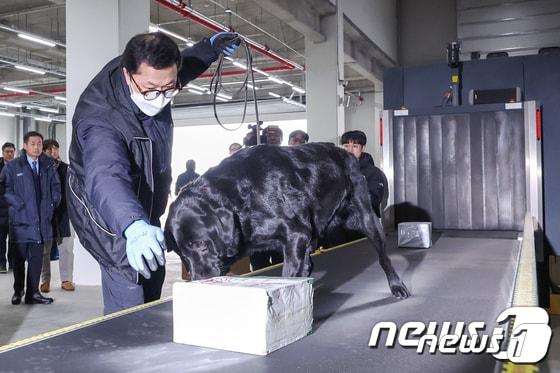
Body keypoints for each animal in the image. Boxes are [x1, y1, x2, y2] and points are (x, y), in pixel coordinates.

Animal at [164, 141, 410, 298]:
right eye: (182, 254)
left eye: (200, 244)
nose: (198, 279)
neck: (241, 195)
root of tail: (345, 152)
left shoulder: (296, 235)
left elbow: (288, 277)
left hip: (367, 219)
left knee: (383, 257)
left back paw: (397, 285)